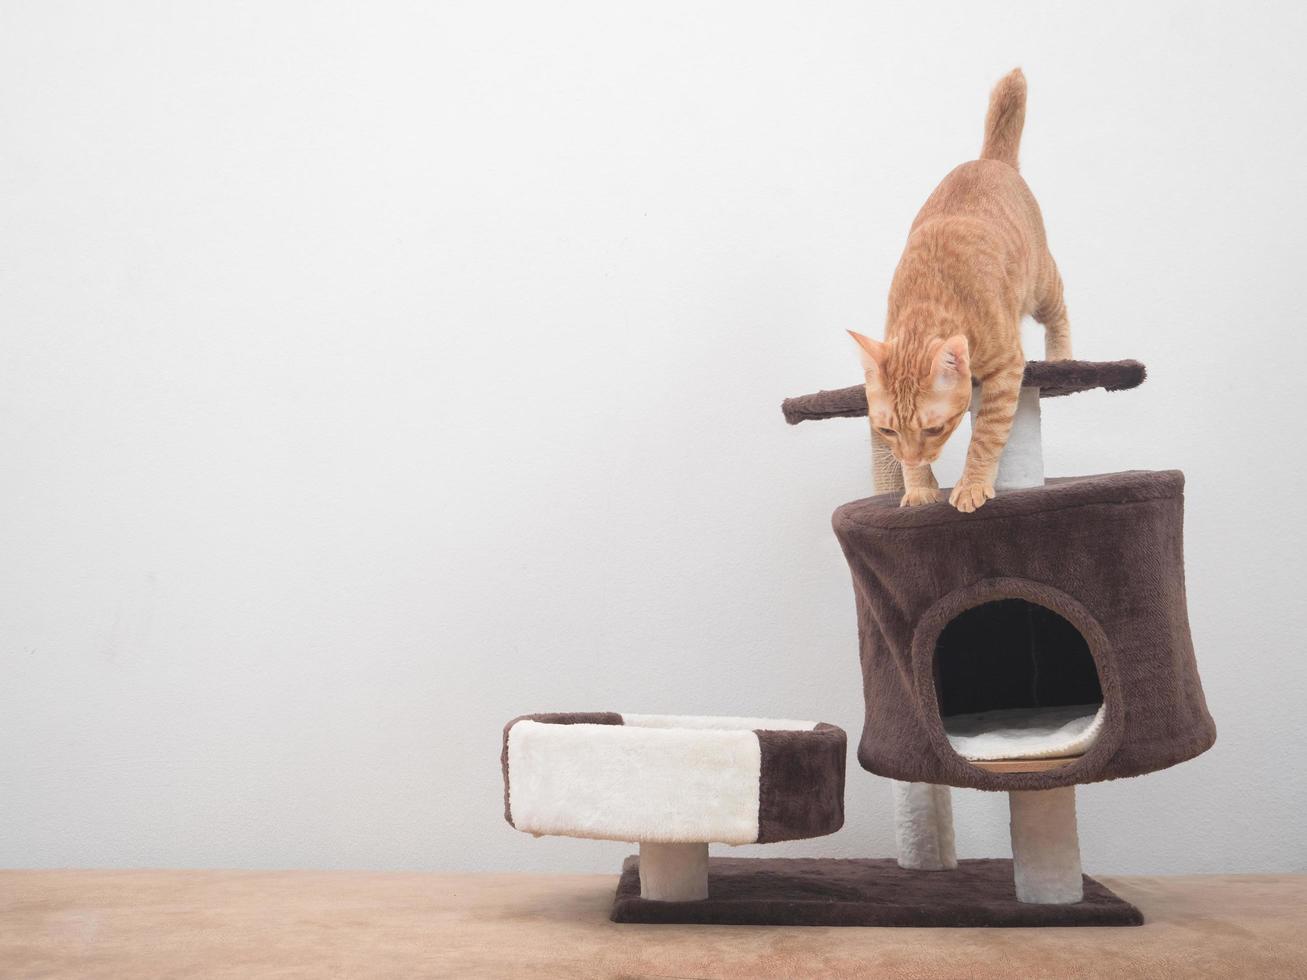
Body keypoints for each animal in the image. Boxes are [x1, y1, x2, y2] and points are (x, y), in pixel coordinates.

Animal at [846, 67, 1071, 514]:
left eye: (935, 429)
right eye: (888, 431)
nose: (914, 457)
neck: (926, 303)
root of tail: (990, 160)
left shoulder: (1007, 370)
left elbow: (985, 437)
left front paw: (970, 485)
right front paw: (918, 486)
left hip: (1041, 283)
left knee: (1059, 314)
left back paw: (1063, 358)